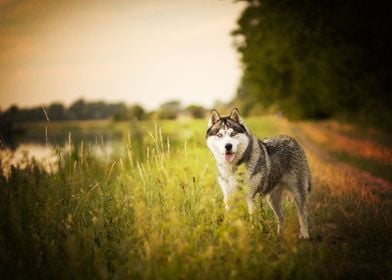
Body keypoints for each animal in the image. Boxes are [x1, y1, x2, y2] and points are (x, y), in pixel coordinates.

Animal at [205, 108, 312, 237]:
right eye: (220, 135)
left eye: (233, 134)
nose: (228, 146)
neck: (234, 167)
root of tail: (291, 139)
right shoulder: (229, 197)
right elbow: (230, 218)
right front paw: (228, 235)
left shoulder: (252, 197)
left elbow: (253, 220)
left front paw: (253, 236)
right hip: (272, 199)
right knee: (282, 216)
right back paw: (279, 235)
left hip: (298, 192)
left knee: (303, 215)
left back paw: (305, 235)